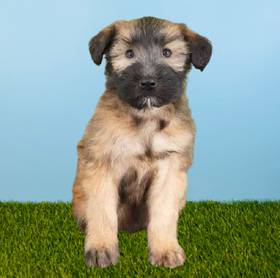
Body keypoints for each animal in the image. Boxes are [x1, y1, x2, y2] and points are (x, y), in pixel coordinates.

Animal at [71, 16, 211, 268]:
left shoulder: (170, 167)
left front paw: (164, 250)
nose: (148, 82)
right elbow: (102, 210)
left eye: (167, 52)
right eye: (129, 54)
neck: (146, 119)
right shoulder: (102, 163)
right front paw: (101, 248)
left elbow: (164, 212)